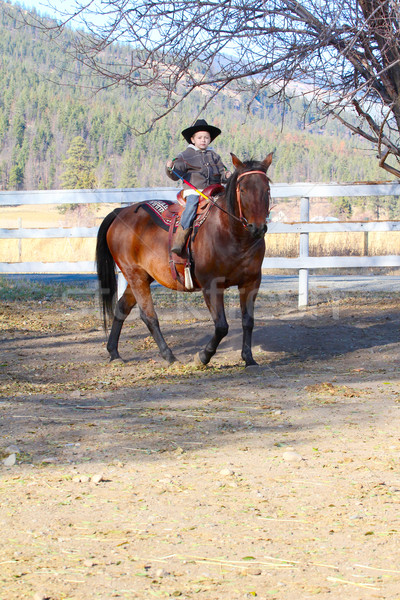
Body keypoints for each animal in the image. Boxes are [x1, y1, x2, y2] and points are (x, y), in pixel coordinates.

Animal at [95, 151, 274, 366]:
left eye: (266, 189)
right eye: (243, 189)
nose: (258, 228)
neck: (231, 234)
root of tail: (120, 212)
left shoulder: (251, 282)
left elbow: (248, 321)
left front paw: (248, 358)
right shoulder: (211, 285)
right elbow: (222, 326)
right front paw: (203, 357)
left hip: (141, 276)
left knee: (122, 308)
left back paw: (114, 352)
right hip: (135, 275)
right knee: (149, 316)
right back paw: (168, 355)